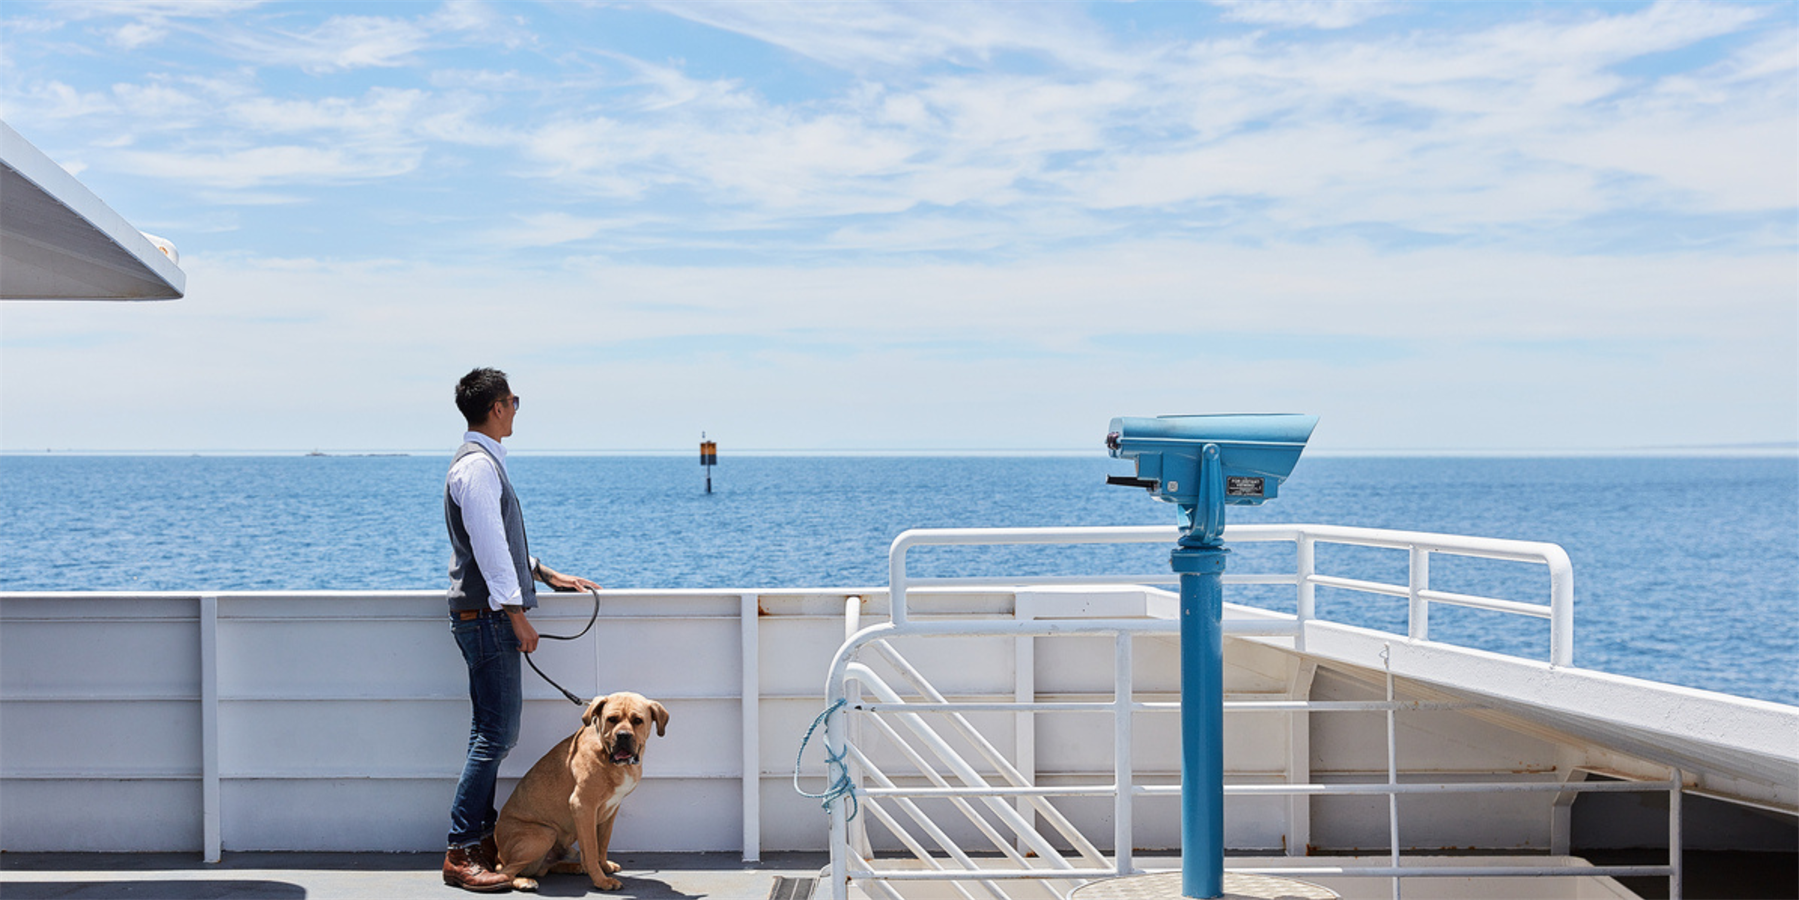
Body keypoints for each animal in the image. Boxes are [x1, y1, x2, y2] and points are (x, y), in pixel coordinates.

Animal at [492, 691, 669, 889]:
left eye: (638, 720)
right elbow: (591, 849)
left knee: (544, 868)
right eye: (611, 719)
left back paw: (574, 867)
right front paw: (601, 880)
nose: (623, 735)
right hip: (545, 834)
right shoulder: (583, 806)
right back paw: (524, 881)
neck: (606, 755)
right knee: (505, 871)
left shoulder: (611, 810)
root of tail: (499, 854)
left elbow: (602, 844)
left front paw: (604, 867)